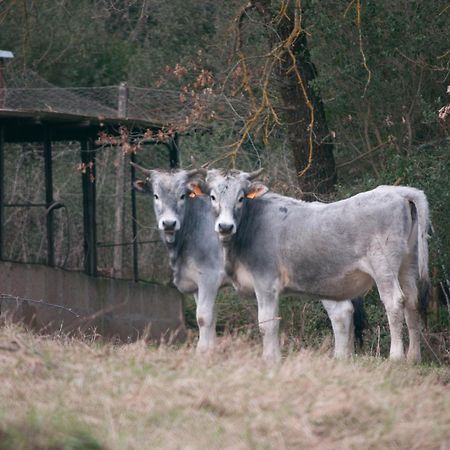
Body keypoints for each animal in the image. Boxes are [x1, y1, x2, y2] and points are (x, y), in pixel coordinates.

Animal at [133, 163, 362, 356]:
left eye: (182, 196)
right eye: (156, 196)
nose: (168, 223)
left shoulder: (208, 276)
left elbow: (203, 317)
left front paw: (203, 353)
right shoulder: (197, 283)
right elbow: (210, 317)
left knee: (340, 313)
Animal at [204, 169, 428, 362]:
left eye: (241, 197)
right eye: (213, 197)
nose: (225, 226)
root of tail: (398, 191)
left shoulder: (266, 282)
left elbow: (267, 323)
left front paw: (270, 359)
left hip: (384, 265)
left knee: (394, 302)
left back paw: (396, 357)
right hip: (408, 263)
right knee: (412, 301)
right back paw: (413, 357)